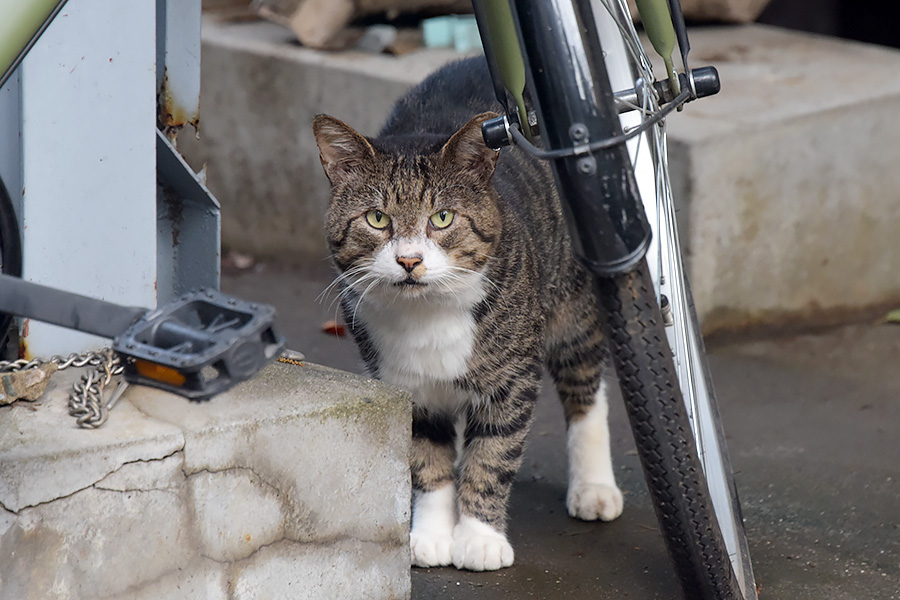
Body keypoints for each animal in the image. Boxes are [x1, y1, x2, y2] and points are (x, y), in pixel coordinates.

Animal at [312, 56, 624, 572]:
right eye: (377, 219)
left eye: (442, 218)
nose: (409, 260)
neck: (427, 314)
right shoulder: (406, 386)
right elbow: (425, 458)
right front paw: (431, 534)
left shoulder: (511, 380)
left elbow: (493, 455)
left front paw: (479, 538)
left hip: (573, 304)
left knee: (586, 385)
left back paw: (594, 487)